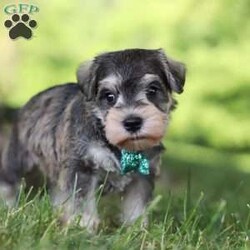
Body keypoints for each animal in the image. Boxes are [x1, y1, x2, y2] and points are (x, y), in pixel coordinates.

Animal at [0, 48, 184, 232]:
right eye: (109, 96)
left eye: (152, 90)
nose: (132, 123)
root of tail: (28, 104)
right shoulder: (82, 168)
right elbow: (81, 201)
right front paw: (83, 226)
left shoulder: (141, 177)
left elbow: (136, 205)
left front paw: (137, 229)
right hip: (18, 160)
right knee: (9, 182)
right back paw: (8, 208)